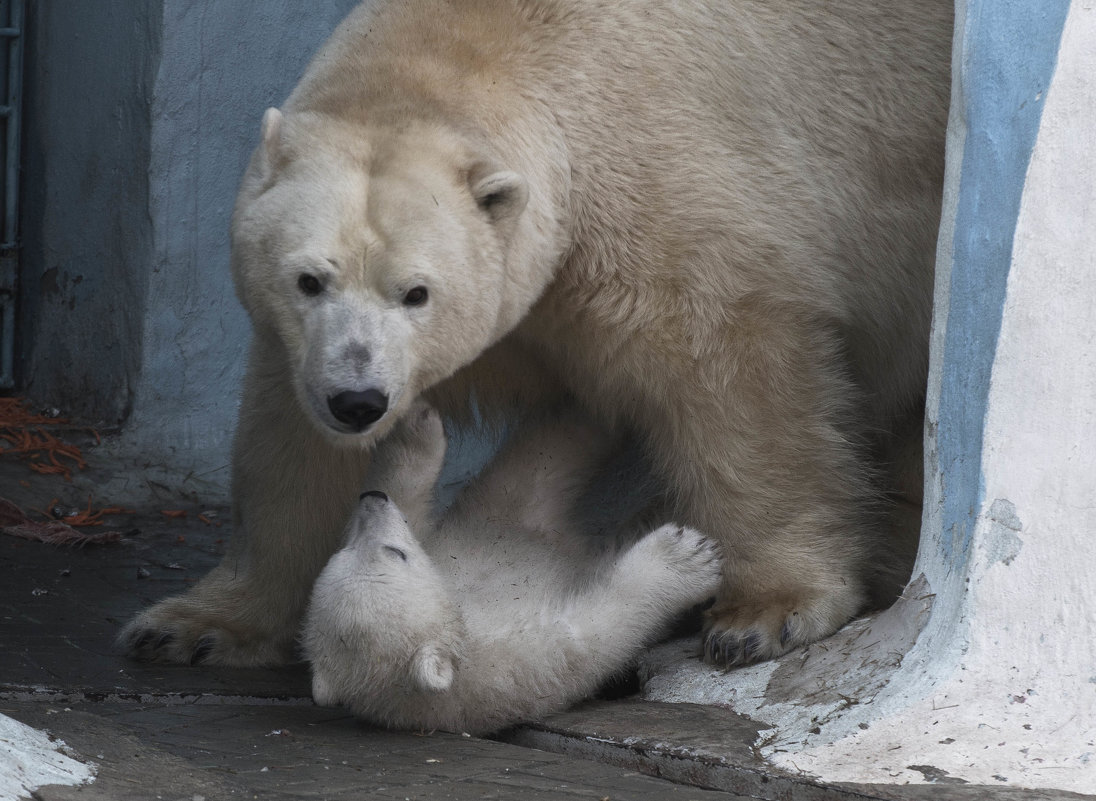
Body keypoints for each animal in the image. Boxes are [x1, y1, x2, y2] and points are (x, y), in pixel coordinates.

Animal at [122, 0, 951, 666]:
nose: (358, 400)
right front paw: (194, 623)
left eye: (417, 292)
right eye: (308, 279)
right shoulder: (308, 352)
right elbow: (292, 453)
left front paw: (765, 611)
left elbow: (737, 386)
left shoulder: (656, 213)